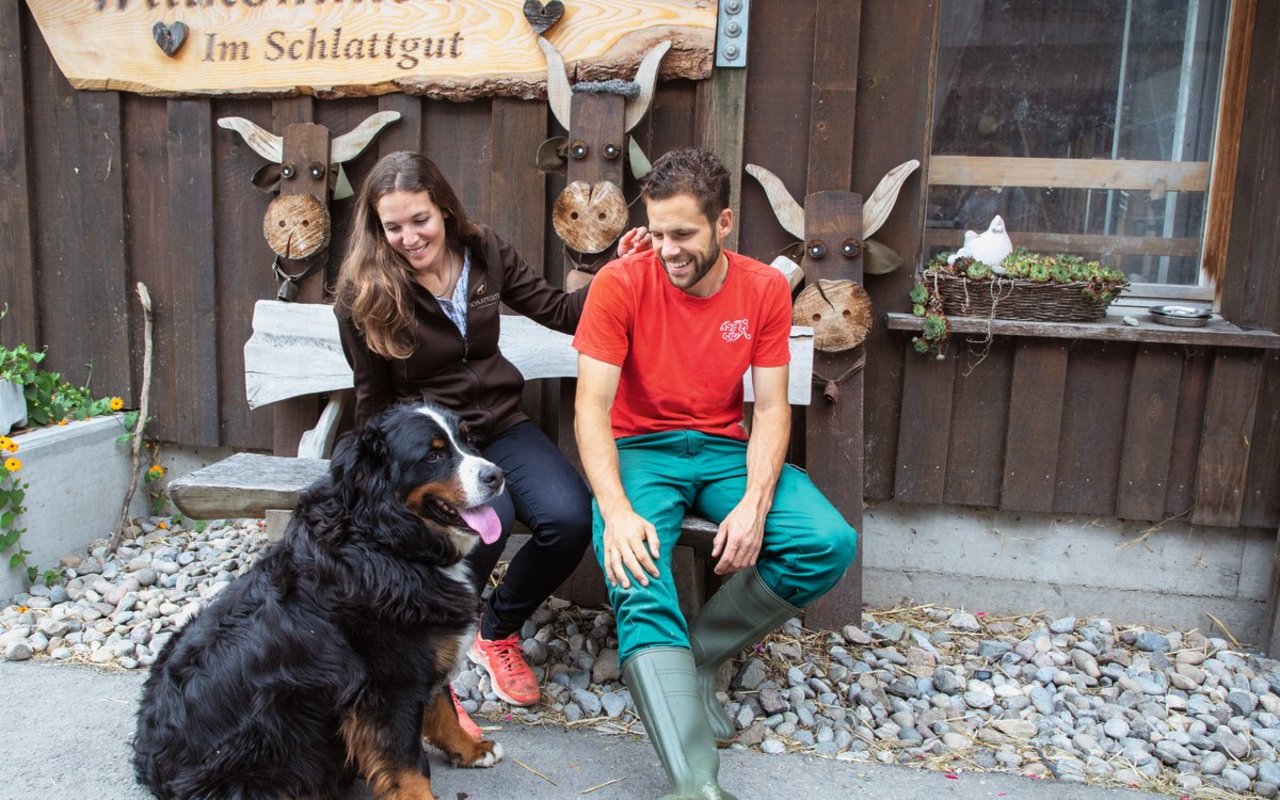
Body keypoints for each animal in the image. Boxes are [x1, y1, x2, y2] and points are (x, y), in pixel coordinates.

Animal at [133, 401, 504, 798]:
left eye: (466, 440)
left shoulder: (424, 655)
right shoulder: (390, 683)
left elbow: (443, 708)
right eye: (434, 455)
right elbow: (406, 762)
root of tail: (153, 767)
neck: (383, 541)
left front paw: (472, 748)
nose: (497, 475)